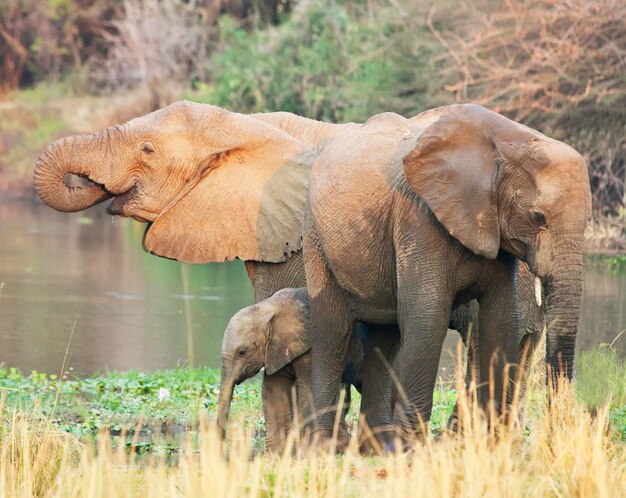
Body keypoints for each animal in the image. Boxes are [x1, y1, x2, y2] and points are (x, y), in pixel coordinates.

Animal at [216, 286, 312, 454]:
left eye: (242, 352)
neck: (270, 307)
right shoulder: (276, 349)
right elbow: (273, 391)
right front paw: (276, 455)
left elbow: (309, 388)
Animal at [306, 104, 588, 448]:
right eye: (538, 218)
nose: (555, 436)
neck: (509, 140)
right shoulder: (419, 217)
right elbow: (428, 316)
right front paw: (411, 448)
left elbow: (502, 318)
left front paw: (491, 443)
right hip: (316, 239)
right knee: (332, 331)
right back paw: (325, 446)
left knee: (382, 337)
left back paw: (377, 448)